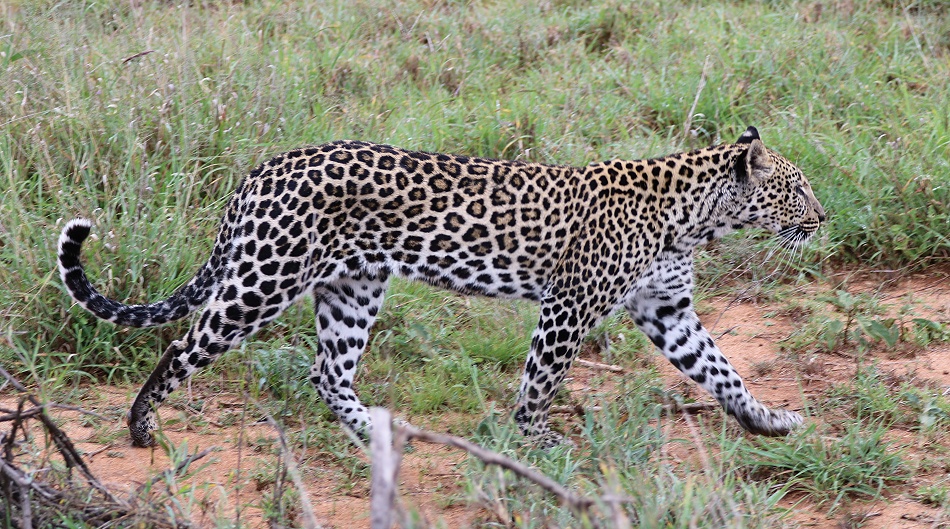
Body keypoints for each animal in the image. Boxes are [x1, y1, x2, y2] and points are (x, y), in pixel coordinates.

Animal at [58, 126, 825, 448]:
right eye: (796, 189)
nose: (822, 218)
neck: (694, 216)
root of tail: (262, 169)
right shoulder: (569, 305)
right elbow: (541, 379)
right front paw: (533, 439)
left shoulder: (667, 309)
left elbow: (721, 369)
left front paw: (766, 420)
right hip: (264, 278)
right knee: (183, 344)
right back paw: (140, 426)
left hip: (354, 288)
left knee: (327, 371)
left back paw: (377, 433)